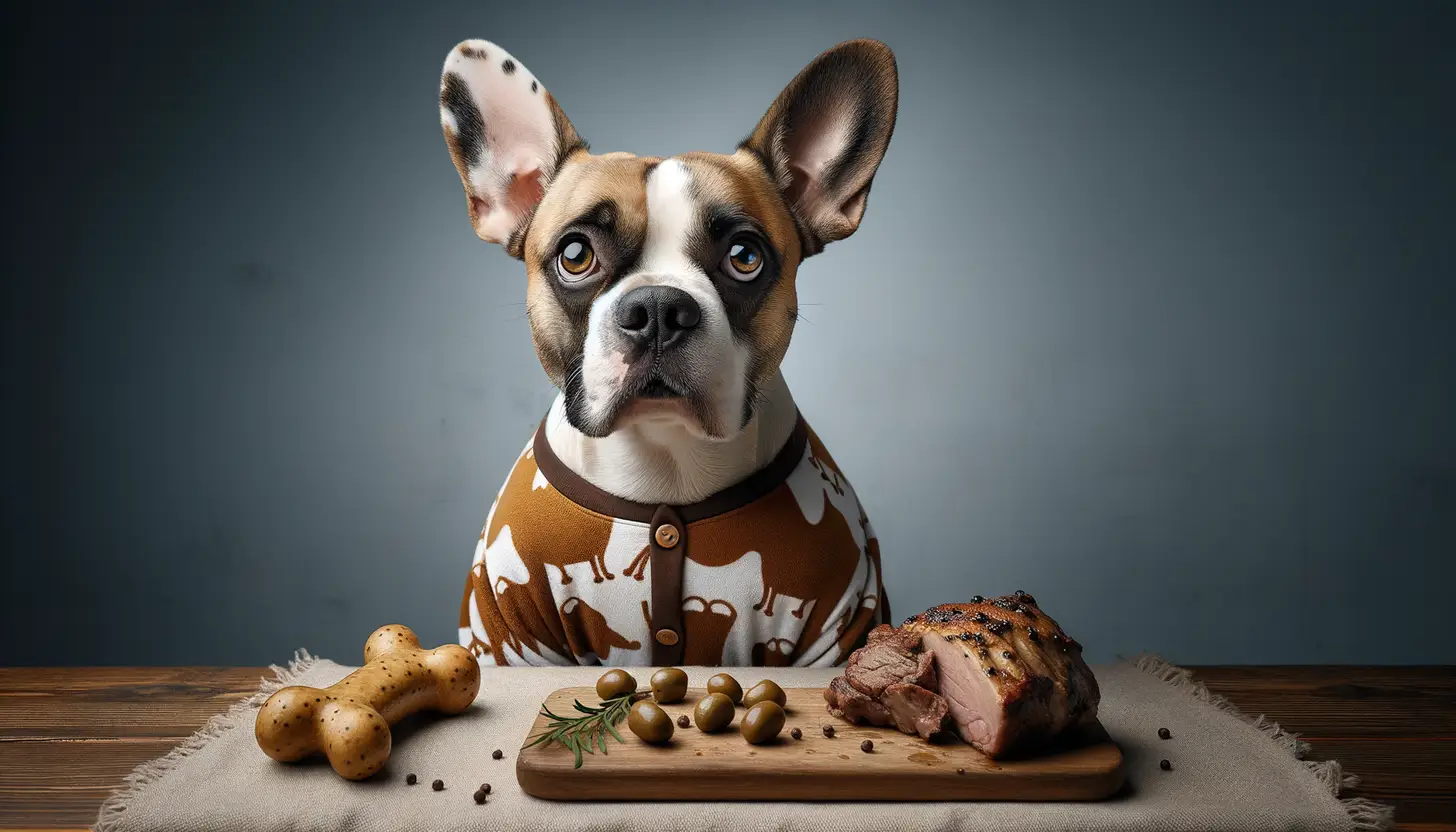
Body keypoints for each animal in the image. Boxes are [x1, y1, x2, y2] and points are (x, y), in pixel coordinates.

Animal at [442, 37, 896, 670]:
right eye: (575, 255)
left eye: (745, 257)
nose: (658, 309)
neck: (664, 459)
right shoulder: (508, 638)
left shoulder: (837, 629)